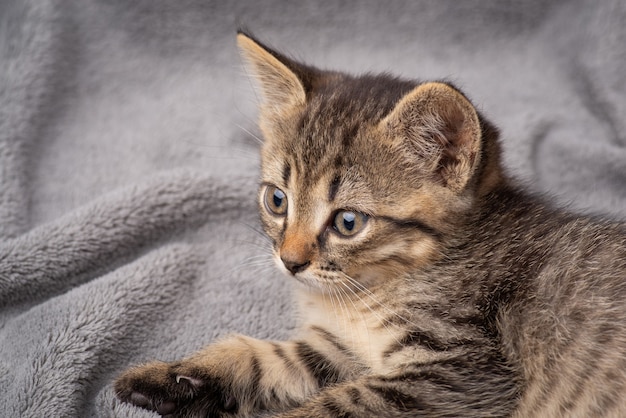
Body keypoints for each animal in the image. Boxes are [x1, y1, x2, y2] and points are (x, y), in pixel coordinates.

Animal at [116, 31, 624, 416]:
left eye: (347, 221)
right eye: (278, 200)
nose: (290, 261)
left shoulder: (461, 370)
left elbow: (330, 408)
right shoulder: (340, 348)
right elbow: (262, 357)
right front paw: (174, 378)